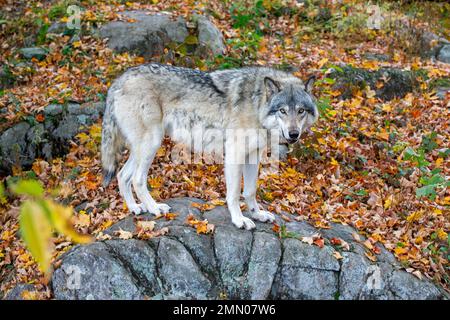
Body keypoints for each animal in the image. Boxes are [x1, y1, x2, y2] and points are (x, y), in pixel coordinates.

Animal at [102, 63, 320, 230]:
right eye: (282, 111)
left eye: (300, 111)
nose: (294, 134)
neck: (257, 104)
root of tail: (119, 80)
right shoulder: (234, 154)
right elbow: (234, 194)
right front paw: (239, 220)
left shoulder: (253, 156)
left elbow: (250, 191)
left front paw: (257, 214)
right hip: (152, 144)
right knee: (137, 179)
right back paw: (154, 208)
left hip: (142, 148)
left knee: (122, 175)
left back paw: (135, 208)